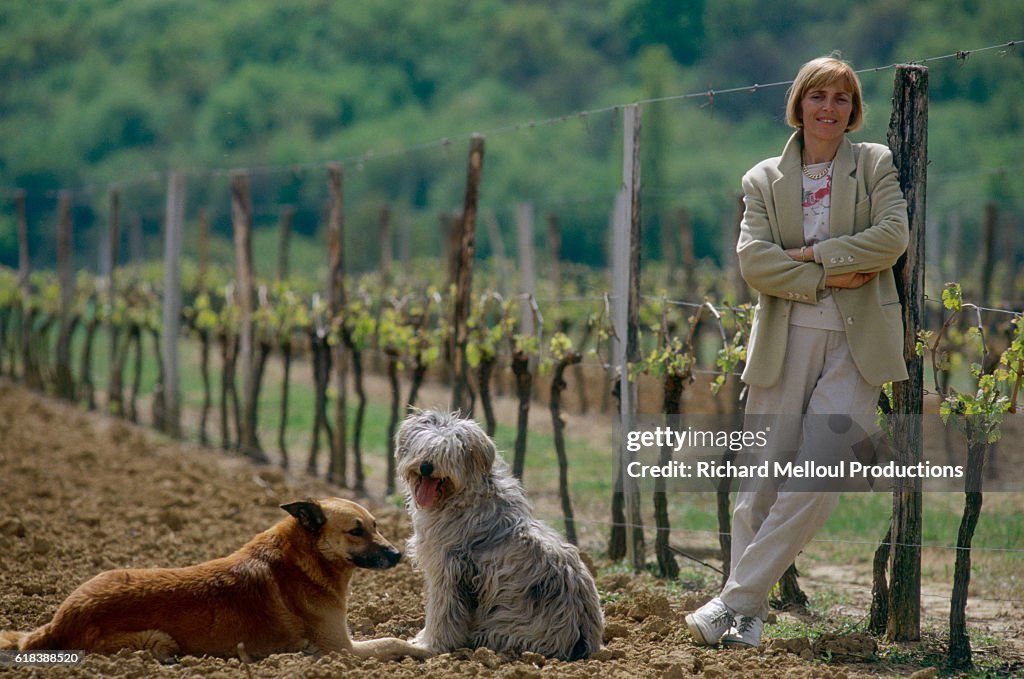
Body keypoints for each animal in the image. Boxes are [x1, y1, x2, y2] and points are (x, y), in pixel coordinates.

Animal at [0, 497, 430, 659]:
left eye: (376, 526)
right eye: (356, 531)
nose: (397, 555)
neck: (304, 558)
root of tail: (59, 620)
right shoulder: (341, 650)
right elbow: (392, 641)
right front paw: (426, 651)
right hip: (158, 641)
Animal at [395, 411, 602, 659]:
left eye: (447, 452)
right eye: (422, 447)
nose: (426, 467)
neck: (463, 498)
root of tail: (582, 640)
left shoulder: (449, 572)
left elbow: (443, 613)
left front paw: (430, 644)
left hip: (502, 626)